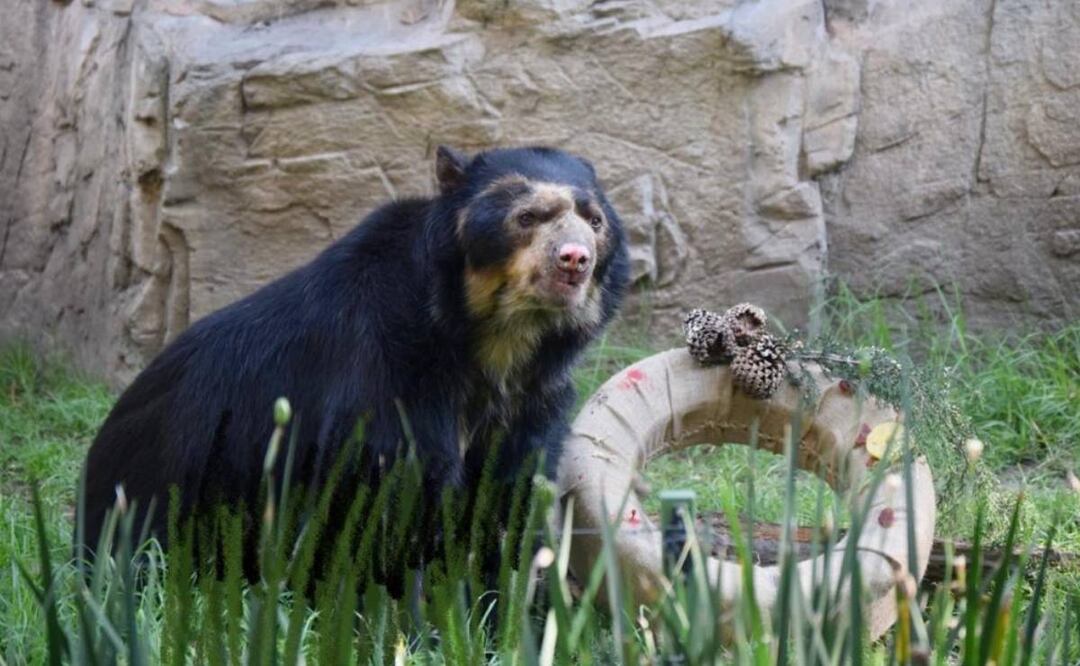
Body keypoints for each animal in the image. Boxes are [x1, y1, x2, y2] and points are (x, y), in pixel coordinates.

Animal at [76, 145, 630, 588]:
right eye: (527, 217)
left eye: (594, 221)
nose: (574, 260)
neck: (496, 343)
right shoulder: (387, 375)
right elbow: (397, 497)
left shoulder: (534, 400)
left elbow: (507, 500)